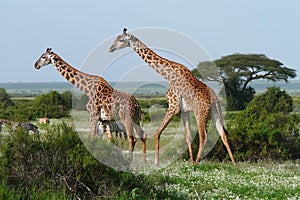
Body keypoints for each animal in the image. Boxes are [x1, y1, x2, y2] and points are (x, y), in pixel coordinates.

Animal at [109, 28, 236, 166]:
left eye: (121, 40)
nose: (110, 49)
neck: (169, 75)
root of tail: (214, 99)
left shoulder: (173, 106)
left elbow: (157, 132)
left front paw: (156, 163)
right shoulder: (184, 111)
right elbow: (188, 137)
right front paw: (190, 162)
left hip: (200, 113)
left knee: (204, 136)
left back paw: (198, 162)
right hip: (215, 112)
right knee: (223, 134)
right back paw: (234, 164)